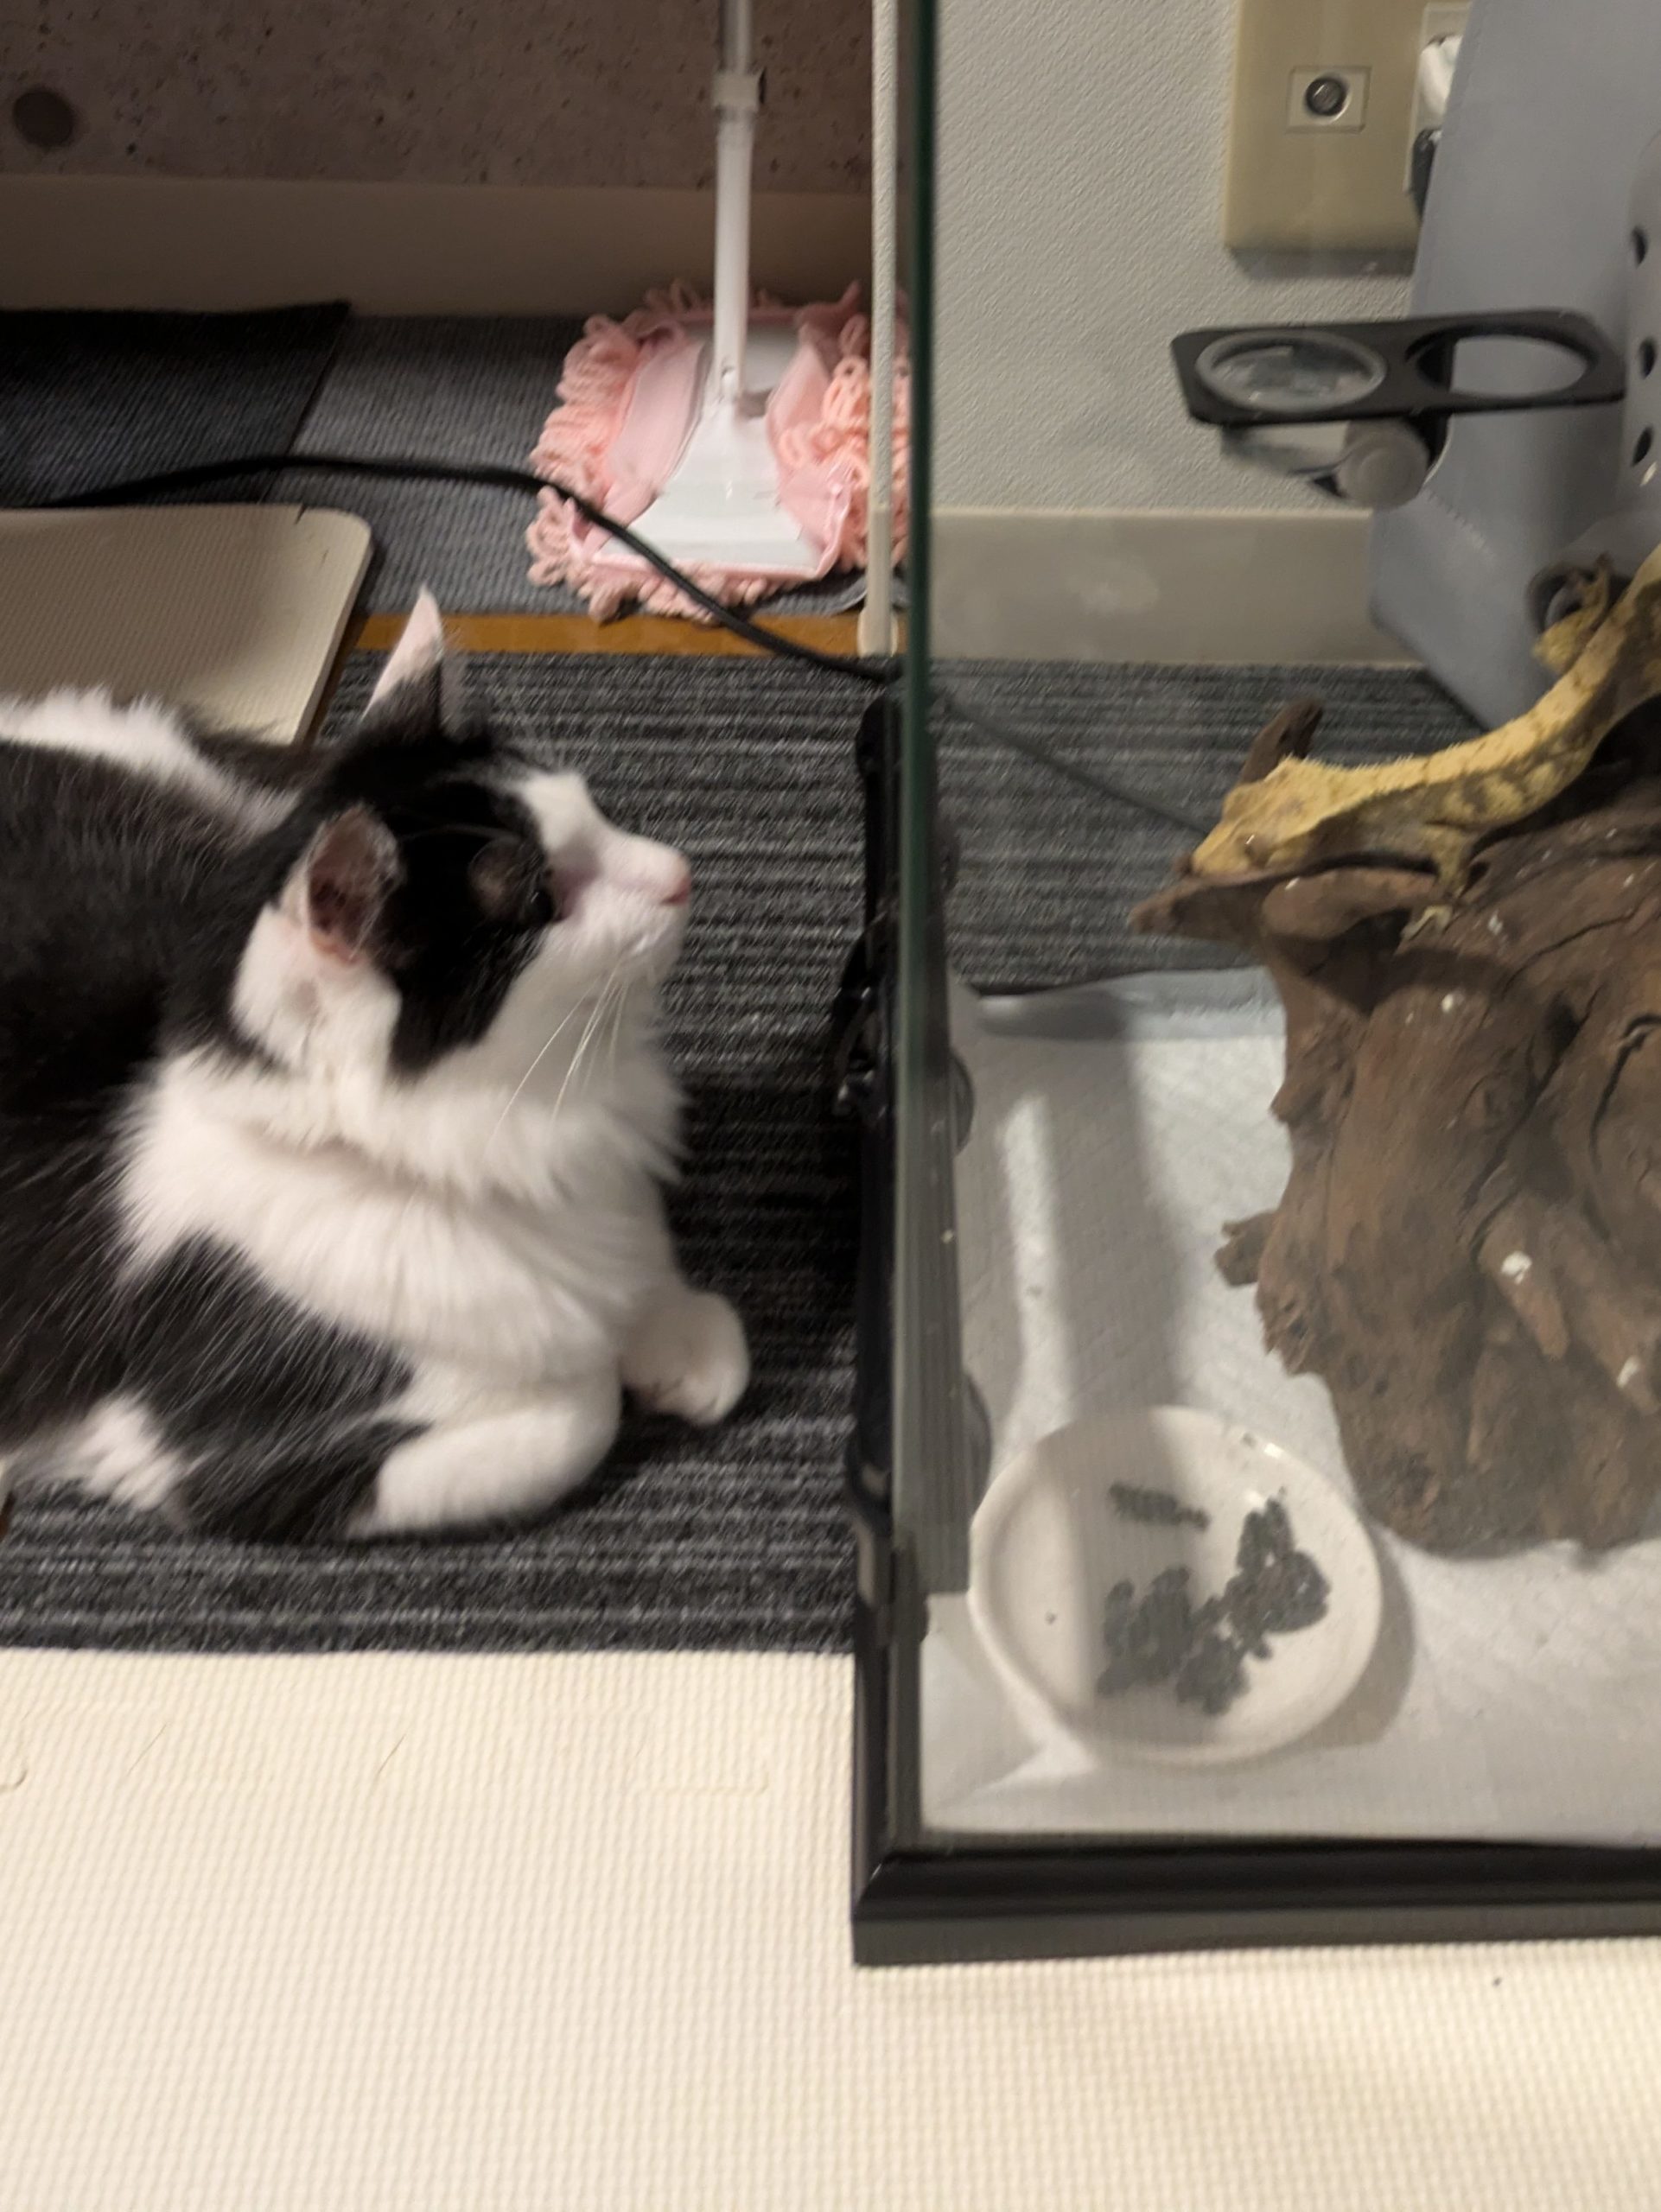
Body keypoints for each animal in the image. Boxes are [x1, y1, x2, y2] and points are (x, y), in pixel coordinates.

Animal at [0, 591, 748, 1541]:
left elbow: (652, 1278)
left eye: (597, 810)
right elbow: (579, 1409)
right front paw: (608, 1359)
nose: (681, 874)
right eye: (542, 901)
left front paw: (673, 1330)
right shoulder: (200, 1452)